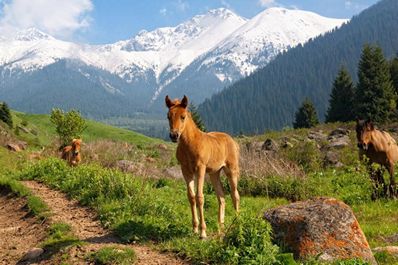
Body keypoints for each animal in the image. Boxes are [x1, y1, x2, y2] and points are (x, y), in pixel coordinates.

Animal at [165, 94, 239, 237]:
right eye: (168, 116)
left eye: (183, 116)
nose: (174, 135)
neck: (190, 143)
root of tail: (232, 140)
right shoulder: (185, 170)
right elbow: (191, 197)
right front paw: (194, 228)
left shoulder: (200, 169)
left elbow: (200, 197)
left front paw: (203, 232)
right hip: (214, 173)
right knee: (221, 196)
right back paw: (220, 226)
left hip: (231, 170)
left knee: (235, 195)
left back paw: (238, 222)